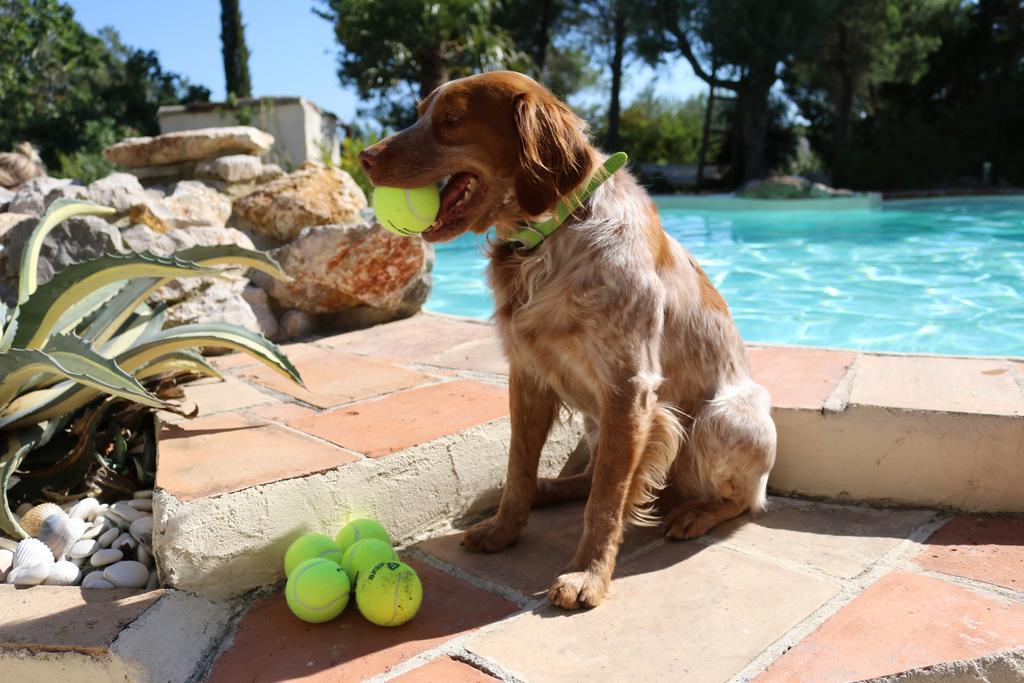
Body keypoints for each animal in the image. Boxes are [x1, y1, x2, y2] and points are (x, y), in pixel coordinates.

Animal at [360, 72, 774, 610]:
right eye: (419, 113)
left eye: (451, 120)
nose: (365, 157)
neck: (551, 236)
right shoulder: (529, 377)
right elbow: (520, 468)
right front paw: (503, 529)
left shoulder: (629, 389)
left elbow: (608, 500)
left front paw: (588, 575)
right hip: (600, 426)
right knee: (583, 478)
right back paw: (547, 490)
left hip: (721, 420)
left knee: (743, 500)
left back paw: (696, 513)